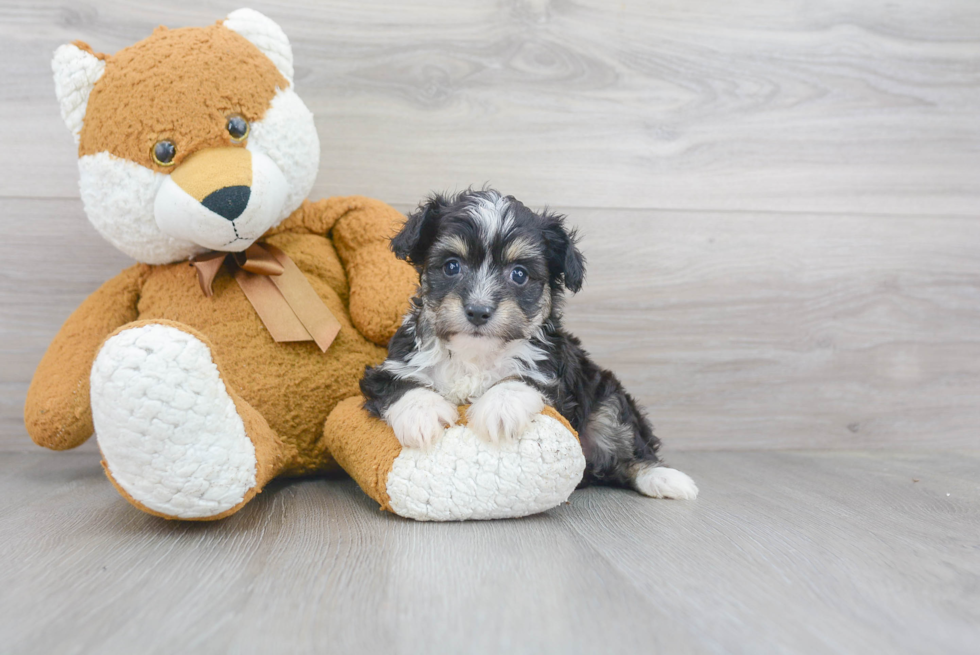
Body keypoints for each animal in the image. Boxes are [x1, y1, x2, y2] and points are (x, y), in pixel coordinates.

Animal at [360, 190, 696, 502]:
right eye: (452, 266)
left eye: (519, 274)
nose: (478, 311)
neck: (476, 353)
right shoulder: (392, 365)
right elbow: (400, 383)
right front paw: (422, 414)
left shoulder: (555, 371)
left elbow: (524, 378)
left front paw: (499, 408)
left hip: (607, 400)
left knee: (627, 445)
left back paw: (665, 478)